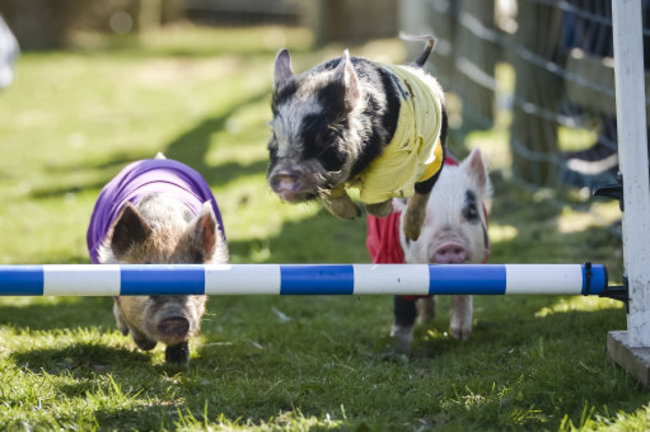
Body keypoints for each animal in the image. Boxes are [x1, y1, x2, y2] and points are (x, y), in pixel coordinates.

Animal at [86, 155, 228, 365]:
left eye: (193, 284)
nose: (175, 318)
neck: (166, 226)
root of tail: (157, 158)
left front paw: (177, 362)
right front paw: (146, 345)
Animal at [267, 35, 447, 241]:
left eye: (326, 135)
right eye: (274, 134)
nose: (283, 175)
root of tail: (416, 65)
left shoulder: (396, 160)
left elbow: (377, 201)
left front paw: (381, 211)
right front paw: (354, 215)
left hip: (436, 150)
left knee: (424, 189)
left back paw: (411, 234)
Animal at [366, 148, 492, 352]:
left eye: (471, 212)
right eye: (421, 218)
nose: (449, 243)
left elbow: (463, 293)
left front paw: (461, 336)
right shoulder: (394, 260)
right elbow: (403, 307)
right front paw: (399, 346)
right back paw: (425, 321)